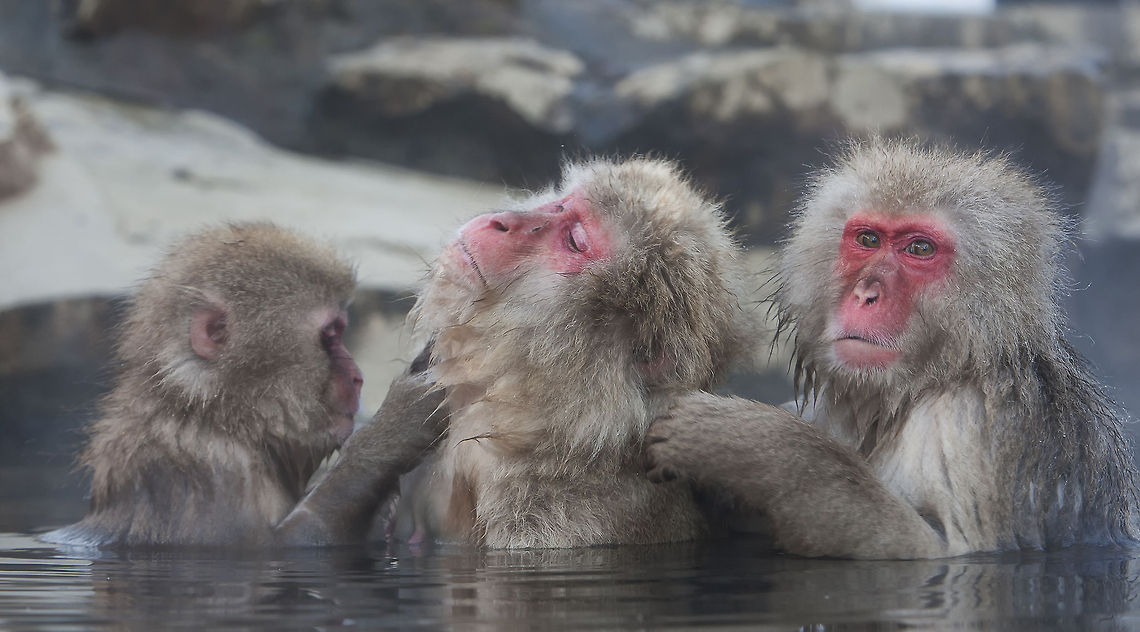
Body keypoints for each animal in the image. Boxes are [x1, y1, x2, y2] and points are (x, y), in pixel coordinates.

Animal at [42, 222, 446, 547]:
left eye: (340, 332)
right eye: (330, 336)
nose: (357, 376)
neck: (216, 417)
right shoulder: (213, 475)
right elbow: (290, 544)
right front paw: (389, 434)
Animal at [644, 138, 1140, 559]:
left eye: (919, 248)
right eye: (868, 239)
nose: (867, 293)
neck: (933, 377)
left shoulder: (983, 424)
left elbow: (943, 551)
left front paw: (754, 444)